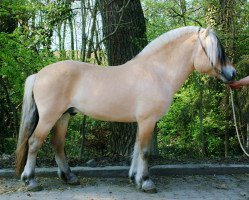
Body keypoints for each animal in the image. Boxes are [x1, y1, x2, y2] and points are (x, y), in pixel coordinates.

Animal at [15, 26, 235, 192]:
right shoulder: (148, 121)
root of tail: (39, 74)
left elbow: (136, 148)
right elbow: (144, 151)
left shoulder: (142, 122)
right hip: (49, 118)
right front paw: (146, 182)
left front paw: (134, 178)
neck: (157, 72)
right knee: (34, 142)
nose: (233, 73)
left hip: (63, 116)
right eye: (216, 51)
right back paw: (31, 181)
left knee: (57, 144)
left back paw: (69, 177)